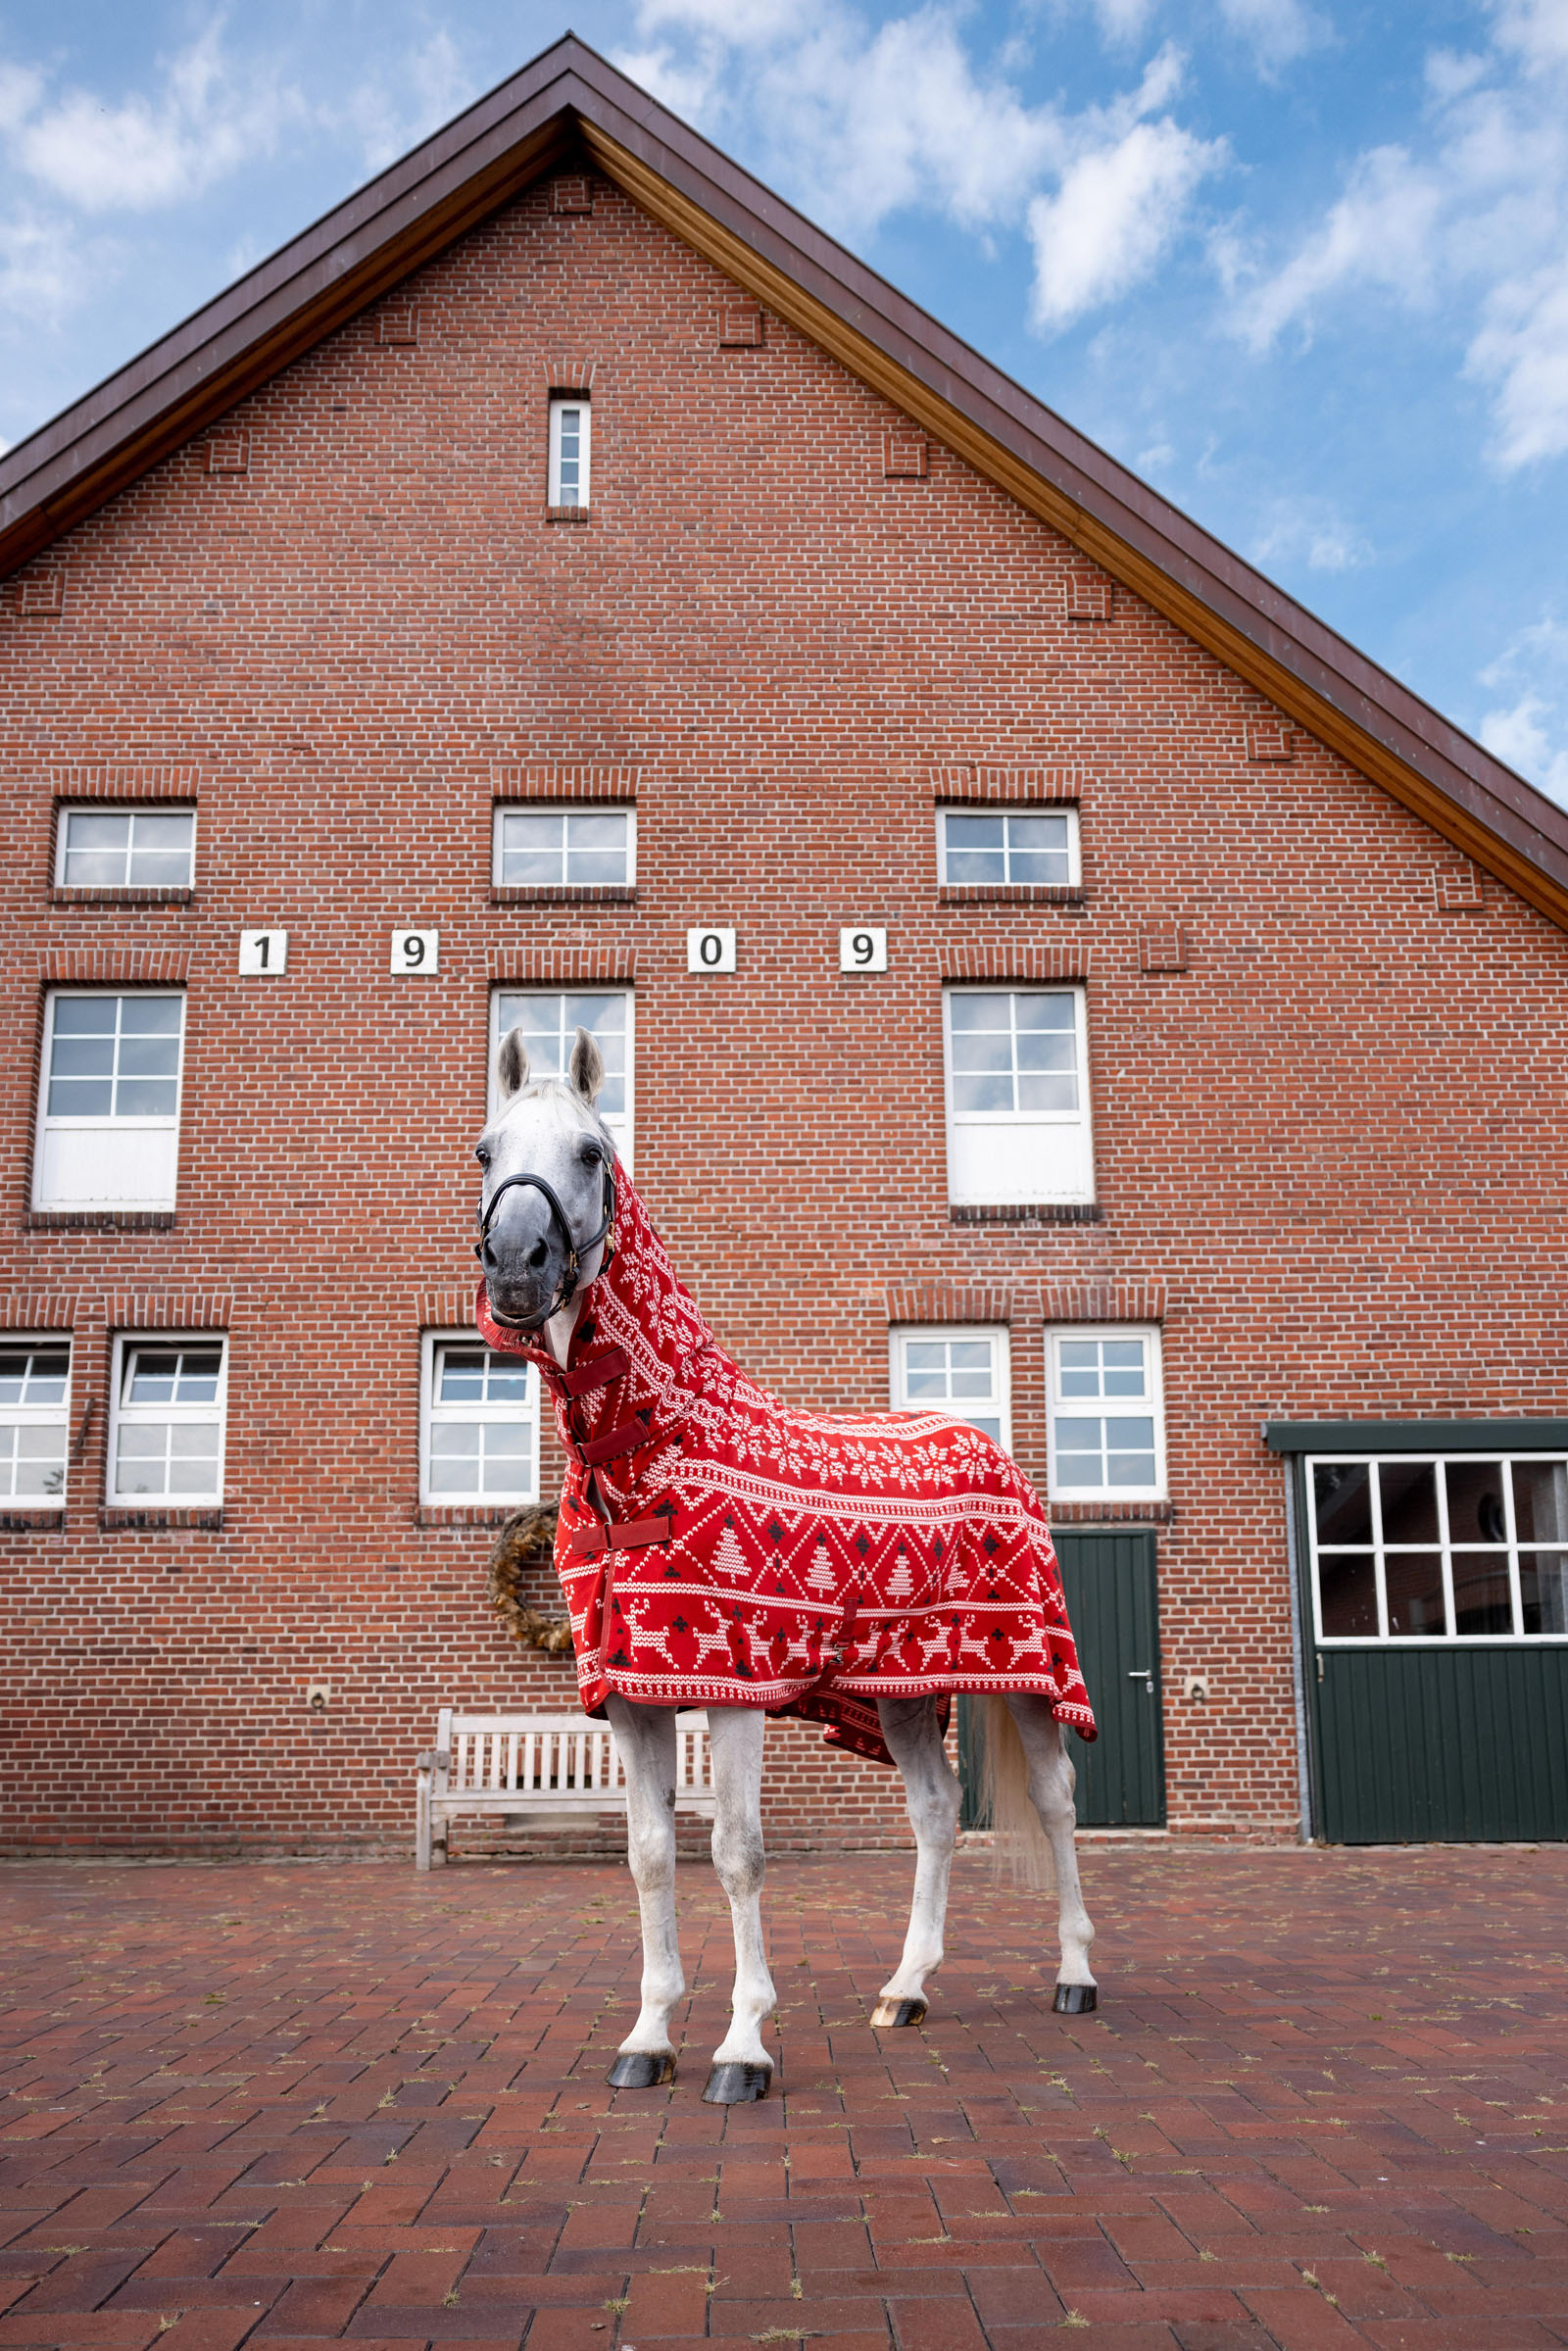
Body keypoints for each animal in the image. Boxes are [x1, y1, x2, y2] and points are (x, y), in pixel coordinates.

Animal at [471, 1025, 1099, 2104]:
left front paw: (742, 2048)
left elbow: (736, 1853)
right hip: (901, 1689)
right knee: (935, 1815)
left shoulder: (734, 1690)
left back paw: (1074, 1974)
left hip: (1028, 1677)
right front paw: (647, 2037)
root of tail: (993, 1452)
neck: (652, 1447)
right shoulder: (634, 1696)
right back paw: (905, 1989)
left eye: (591, 1151)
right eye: (484, 1151)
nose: (517, 1261)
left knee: (1057, 1804)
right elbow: (649, 1856)